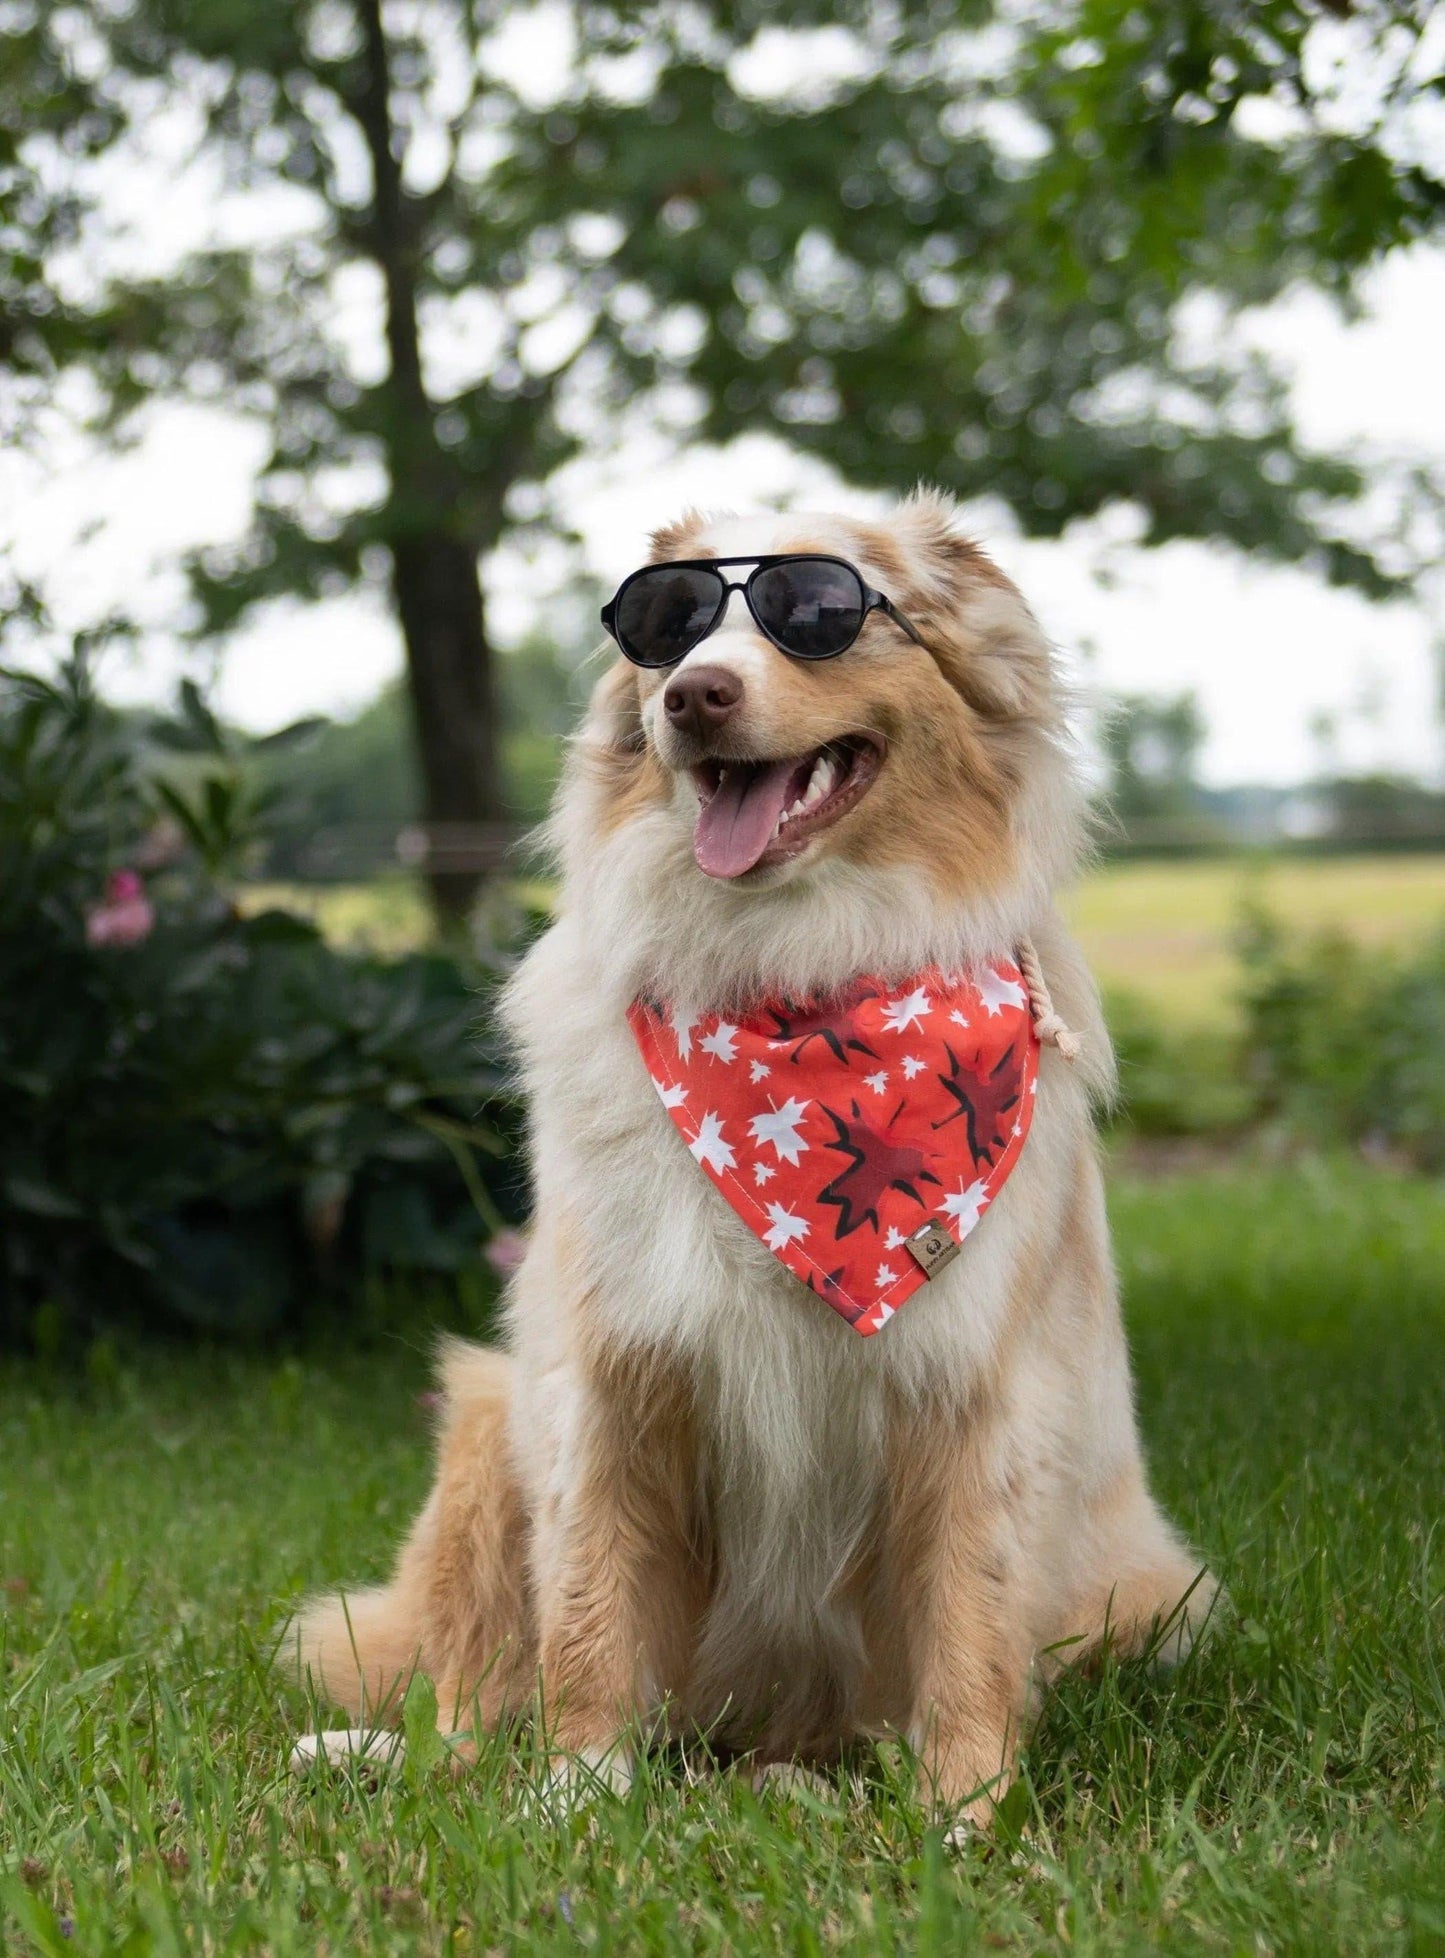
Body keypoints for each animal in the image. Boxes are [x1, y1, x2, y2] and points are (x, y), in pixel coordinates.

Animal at [287, 493, 1213, 1832]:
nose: (694, 696)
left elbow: (968, 1611)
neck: (790, 975)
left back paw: (798, 1777)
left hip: (1146, 1592)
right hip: (481, 1418)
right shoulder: (603, 1369)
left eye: (820, 611)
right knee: (465, 1689)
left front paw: (960, 1808)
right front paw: (575, 1794)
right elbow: (588, 1613)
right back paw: (380, 1752)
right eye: (664, 625)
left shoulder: (975, 1388)